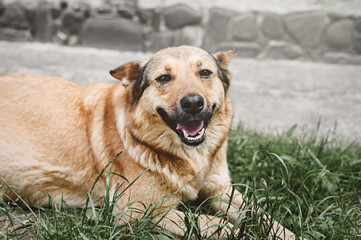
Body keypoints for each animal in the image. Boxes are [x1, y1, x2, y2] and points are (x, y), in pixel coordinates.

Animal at [0, 46, 296, 239]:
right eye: (163, 78)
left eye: (205, 73)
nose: (193, 103)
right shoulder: (141, 212)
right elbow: (212, 223)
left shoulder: (223, 190)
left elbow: (262, 215)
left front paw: (287, 234)